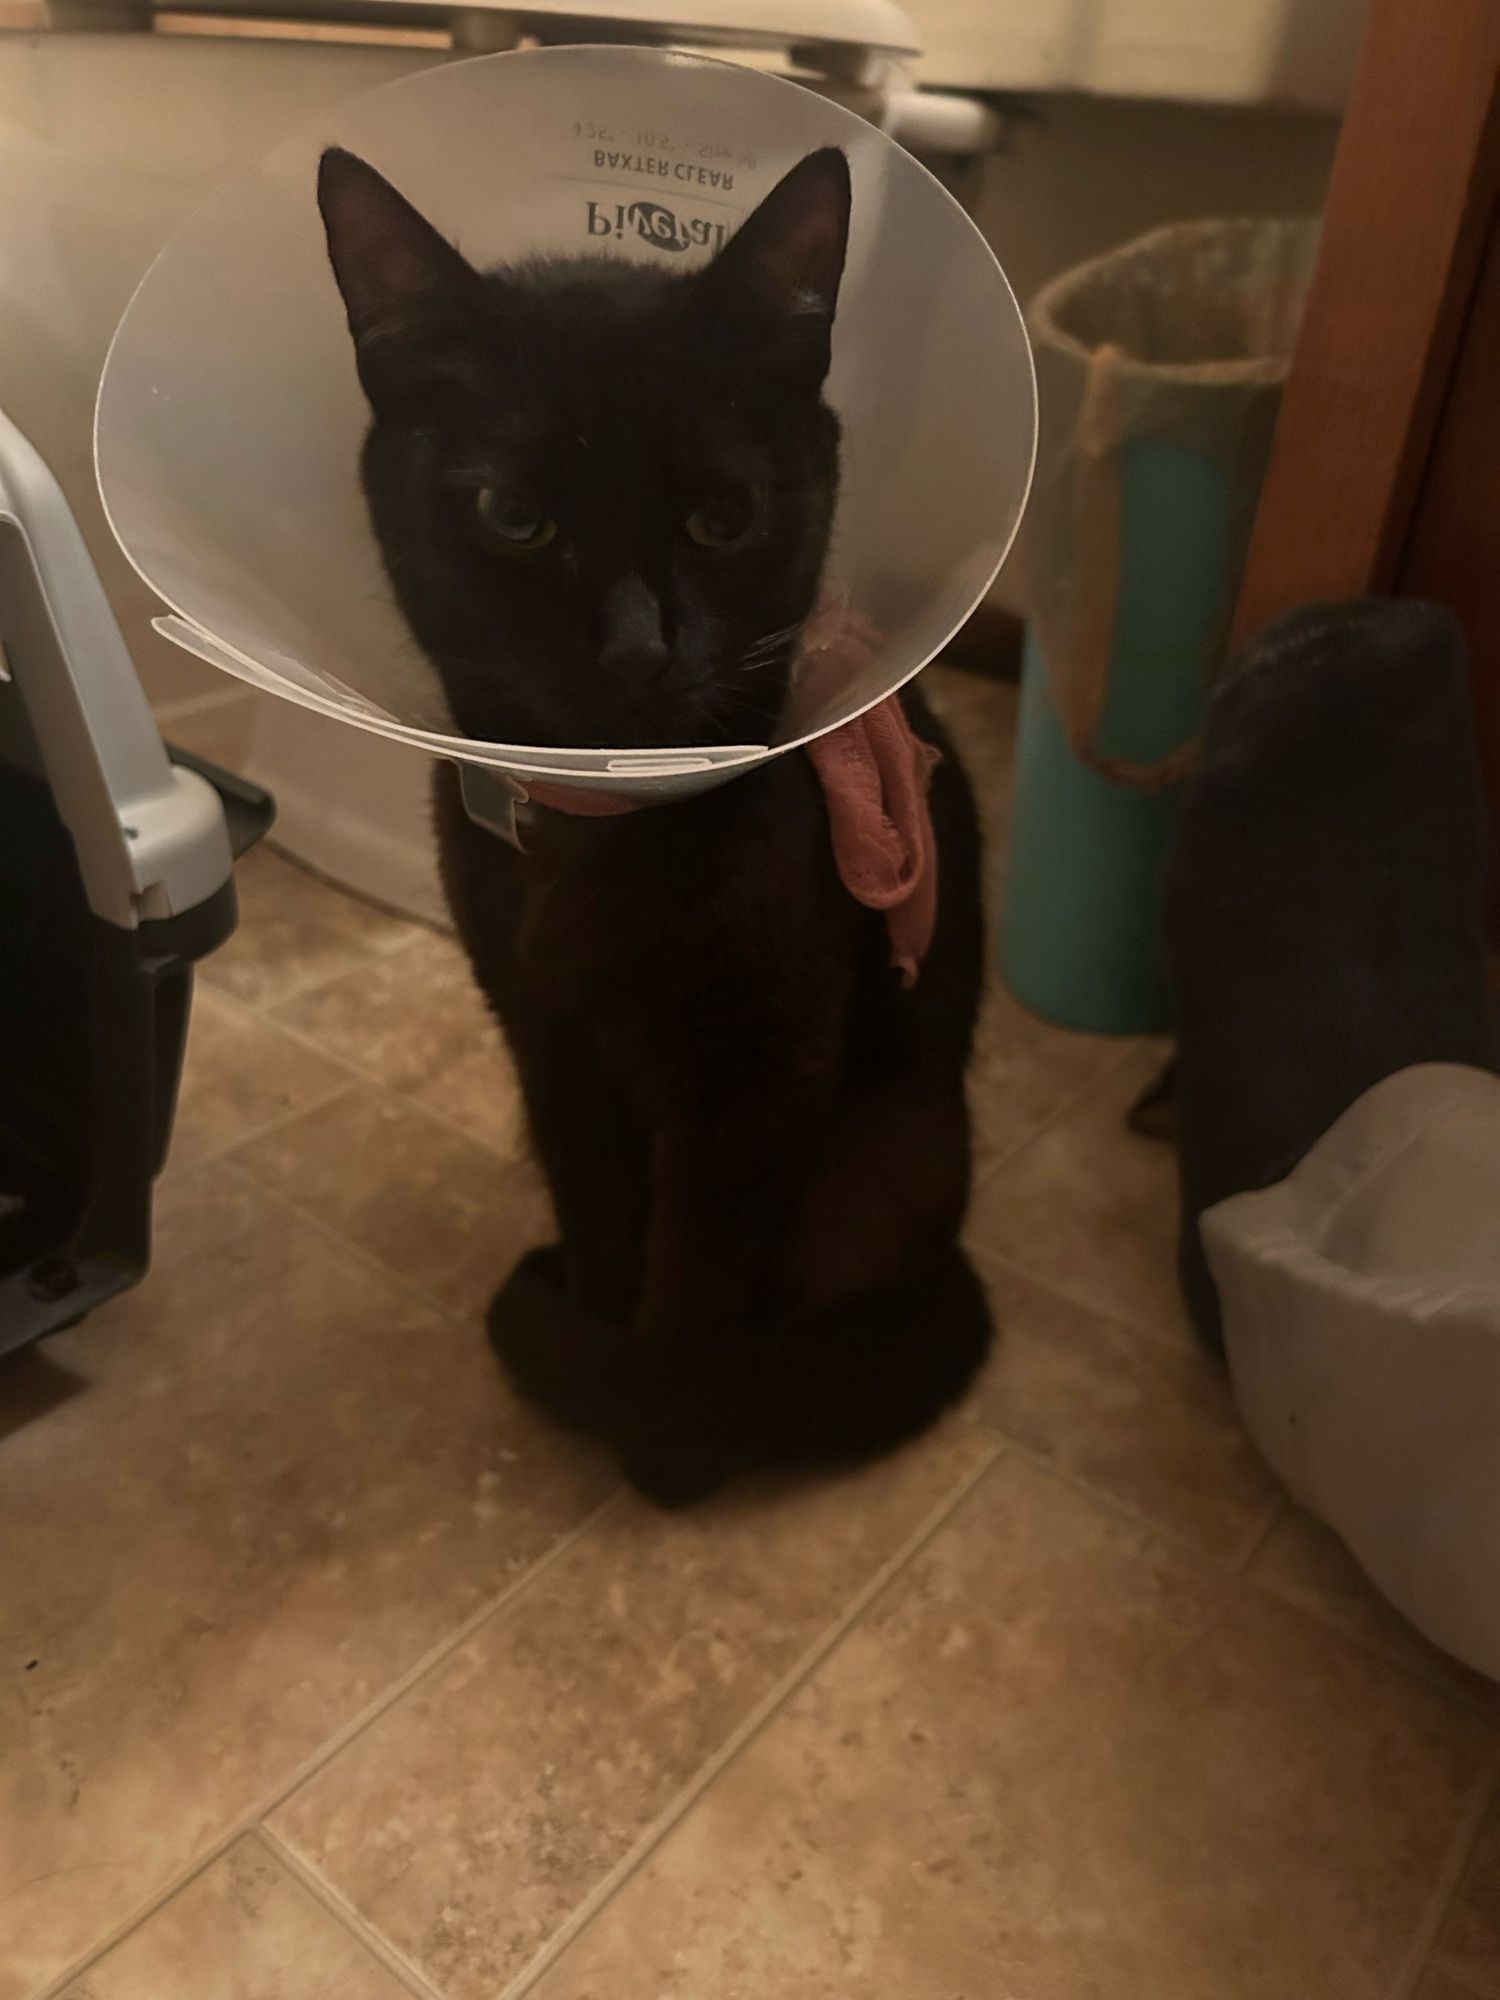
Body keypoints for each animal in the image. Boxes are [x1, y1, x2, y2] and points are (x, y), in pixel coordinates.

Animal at [324, 141, 992, 1504]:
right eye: (514, 514)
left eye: (722, 517)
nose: (638, 647)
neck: (601, 830)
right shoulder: (545, 1041)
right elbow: (602, 1222)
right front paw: (591, 1326)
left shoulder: (755, 1074)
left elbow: (692, 1297)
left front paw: (661, 1437)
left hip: (884, 1148)